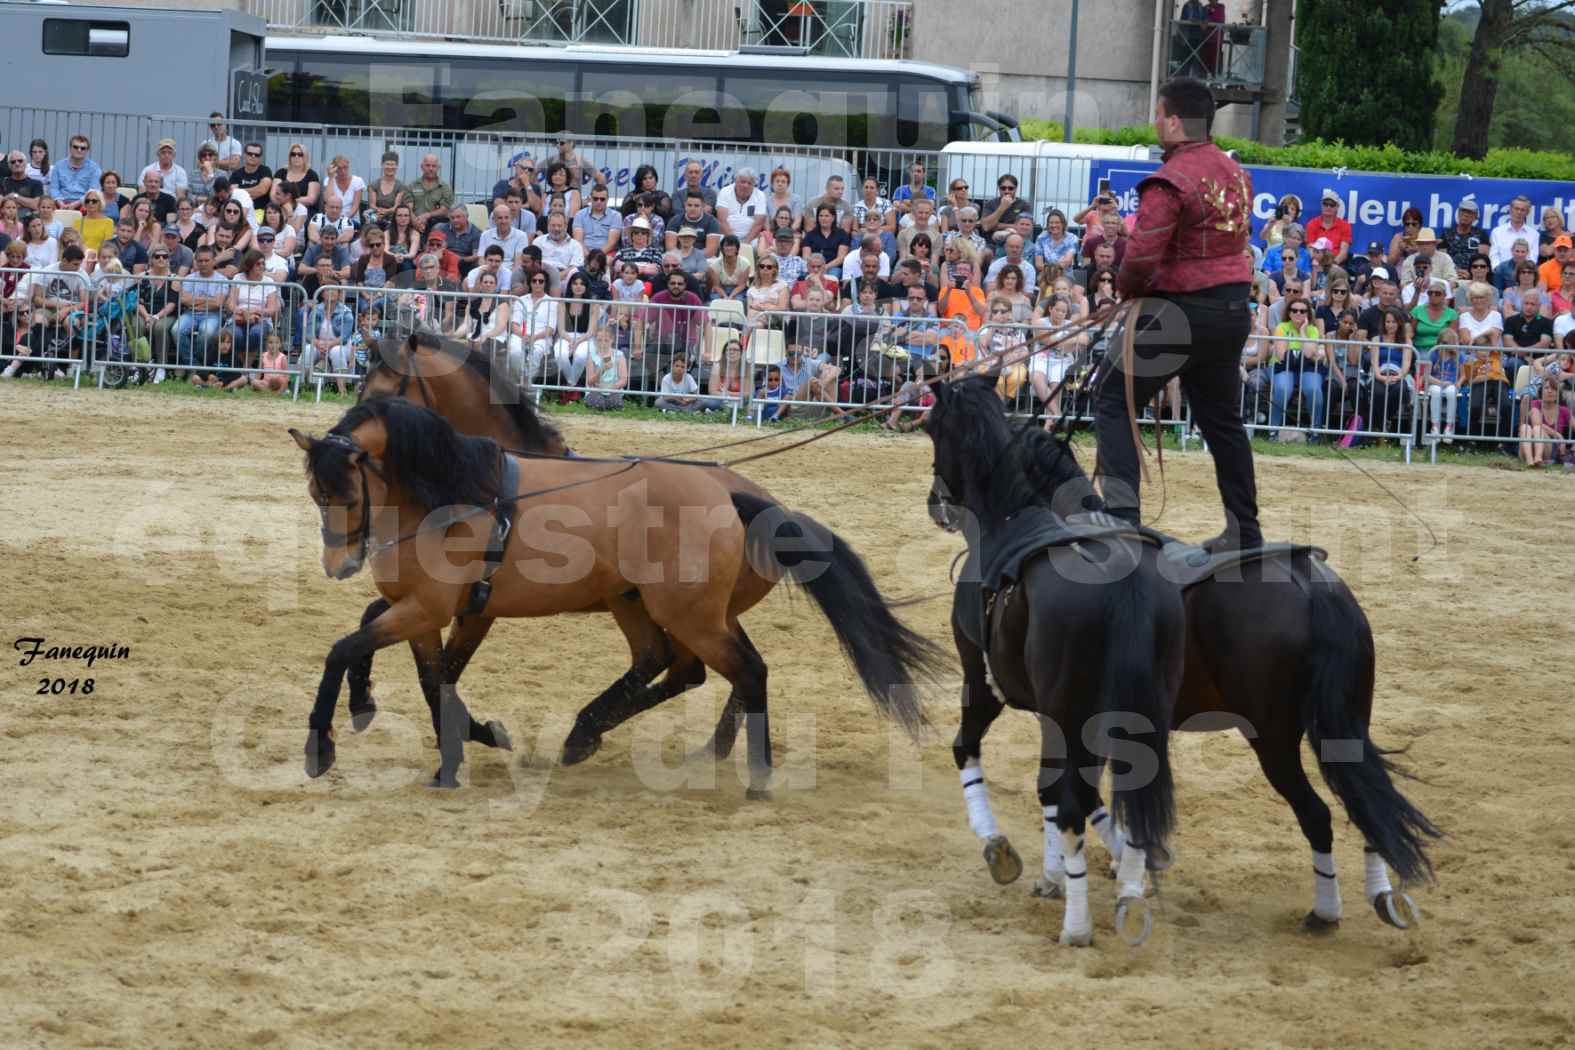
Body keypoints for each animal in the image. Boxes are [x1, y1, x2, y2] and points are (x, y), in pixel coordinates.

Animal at [294, 398, 932, 793]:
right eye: (315, 493)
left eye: (349, 491)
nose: (339, 565)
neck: (457, 498)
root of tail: (737, 499)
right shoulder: (433, 612)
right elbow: (422, 671)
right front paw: (445, 740)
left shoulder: (435, 609)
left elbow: (345, 649)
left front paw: (322, 745)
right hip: (659, 607)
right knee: (683, 667)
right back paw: (608, 737)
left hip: (687, 613)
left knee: (736, 670)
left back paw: (753, 772)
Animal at [351, 336, 781, 765]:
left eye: (382, 394)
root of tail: (756, 502)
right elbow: (376, 619)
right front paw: (365, 699)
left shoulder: (476, 607)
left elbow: (443, 674)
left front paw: (473, 732)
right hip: (699, 609)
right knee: (719, 667)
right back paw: (707, 746)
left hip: (681, 608)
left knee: (696, 667)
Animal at [919, 373, 1184, 950]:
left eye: (930, 427)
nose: (936, 502)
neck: (1007, 518)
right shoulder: (1055, 713)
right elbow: (1052, 786)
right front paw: (1057, 874)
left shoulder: (984, 685)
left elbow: (967, 752)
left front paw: (1001, 849)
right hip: (1134, 710)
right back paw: (1129, 893)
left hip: (1064, 708)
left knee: (1072, 802)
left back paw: (1078, 925)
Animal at [938, 396, 1442, 938]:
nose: (938, 502)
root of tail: (1312, 584)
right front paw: (1117, 867)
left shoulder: (1001, 691)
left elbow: (1038, 781)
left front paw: (1055, 869)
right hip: (1344, 725)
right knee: (1364, 803)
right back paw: (1375, 895)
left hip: (1271, 736)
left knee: (1318, 811)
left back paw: (1324, 909)